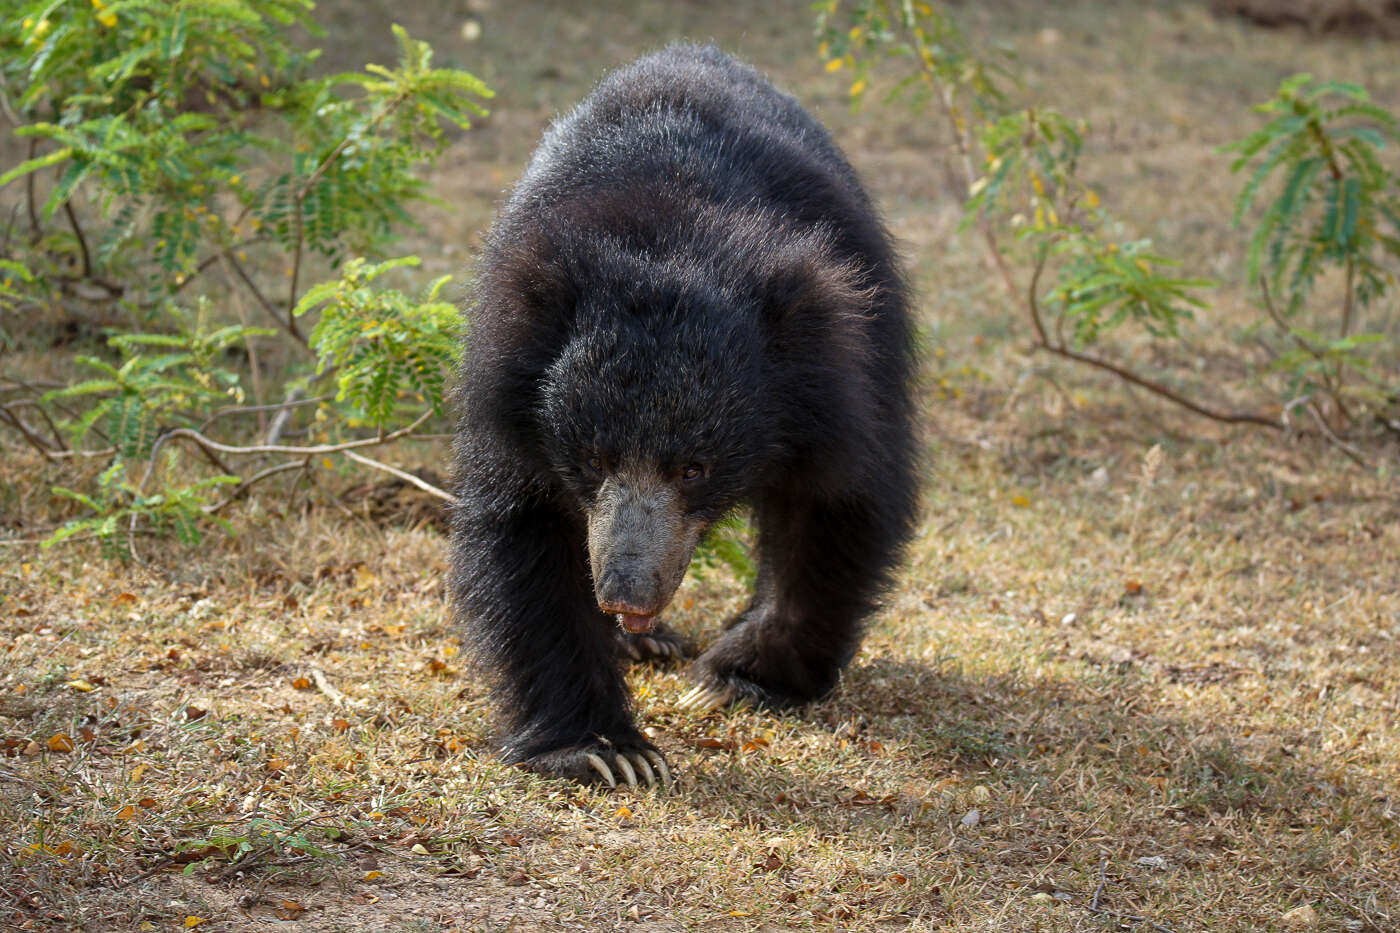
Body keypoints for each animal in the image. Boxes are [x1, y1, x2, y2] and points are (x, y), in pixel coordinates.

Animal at [448, 45, 924, 784]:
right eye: (592, 460)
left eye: (693, 469)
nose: (626, 594)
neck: (674, 228)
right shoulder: (511, 390)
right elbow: (525, 526)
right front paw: (608, 751)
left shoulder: (845, 374)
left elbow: (836, 503)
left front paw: (733, 678)